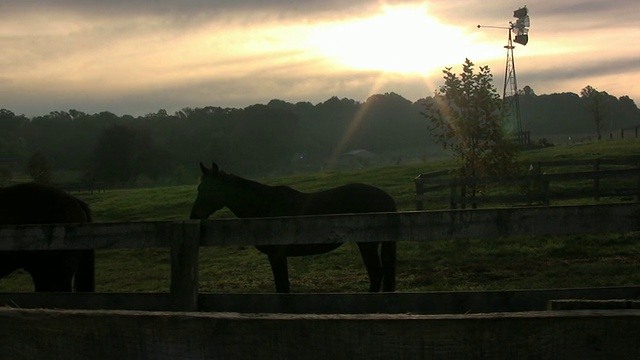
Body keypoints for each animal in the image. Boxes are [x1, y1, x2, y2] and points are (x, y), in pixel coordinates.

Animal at [190, 162, 396, 292]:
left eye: (213, 189)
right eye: (199, 188)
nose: (194, 216)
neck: (266, 207)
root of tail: (386, 197)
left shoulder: (276, 256)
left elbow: (282, 287)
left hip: (367, 245)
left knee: (376, 273)